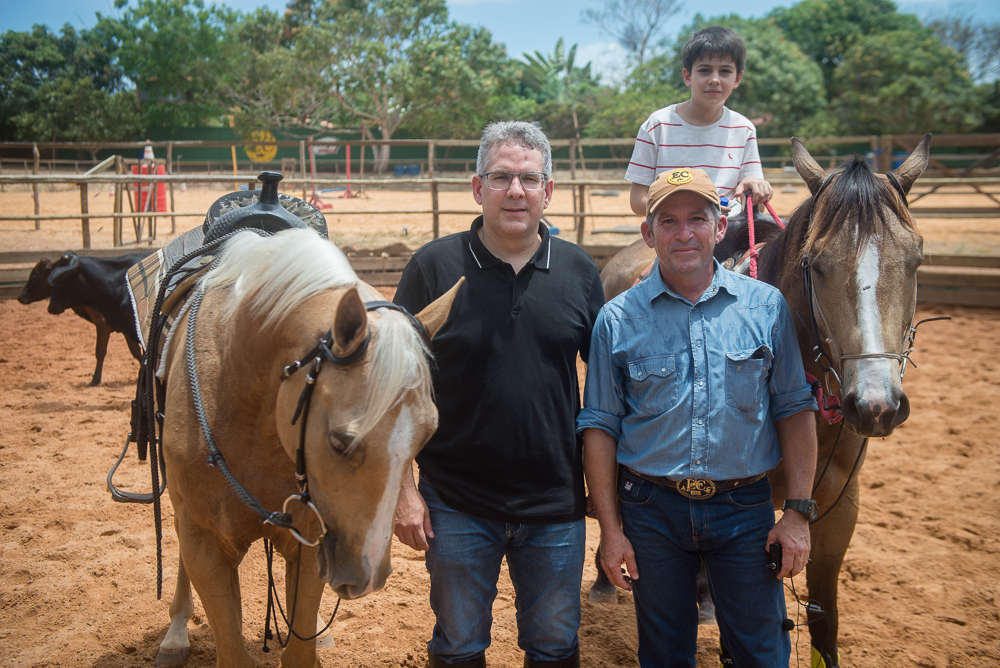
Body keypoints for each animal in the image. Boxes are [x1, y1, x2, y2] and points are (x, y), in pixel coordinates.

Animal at [155, 227, 460, 664]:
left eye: (427, 434)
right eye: (338, 441)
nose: (368, 573)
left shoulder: (311, 542)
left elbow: (299, 652)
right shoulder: (204, 544)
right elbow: (232, 650)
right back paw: (176, 634)